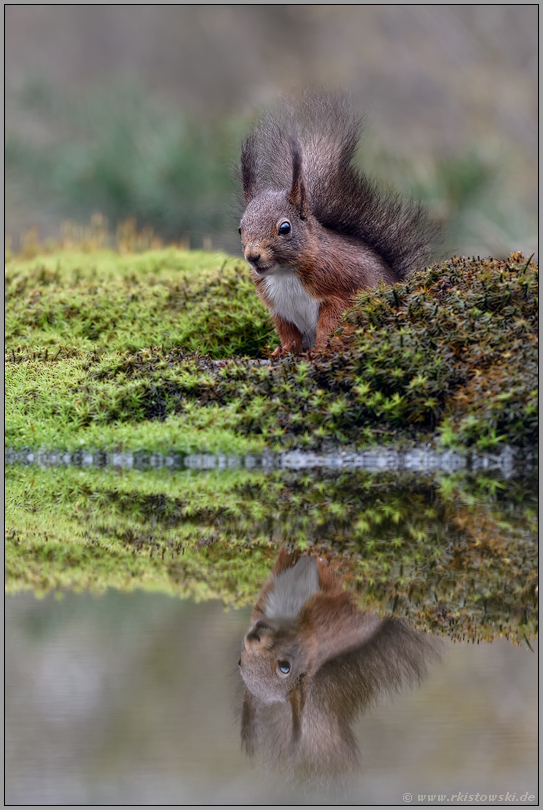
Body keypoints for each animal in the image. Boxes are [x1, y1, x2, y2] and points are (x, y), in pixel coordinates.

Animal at [238, 93, 440, 355]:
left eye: (285, 228)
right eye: (240, 229)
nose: (253, 256)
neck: (284, 273)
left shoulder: (339, 290)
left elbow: (331, 323)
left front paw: (321, 349)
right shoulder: (279, 310)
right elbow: (288, 334)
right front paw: (281, 352)